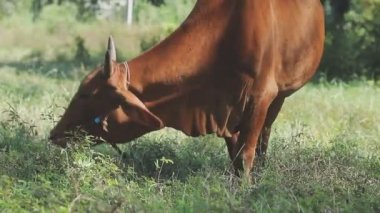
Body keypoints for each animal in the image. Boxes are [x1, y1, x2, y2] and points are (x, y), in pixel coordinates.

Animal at [49, 0, 324, 179]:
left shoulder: (260, 98)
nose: (54, 133)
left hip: (280, 96)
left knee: (265, 137)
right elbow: (234, 153)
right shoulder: (224, 110)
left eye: (86, 94)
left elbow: (246, 156)